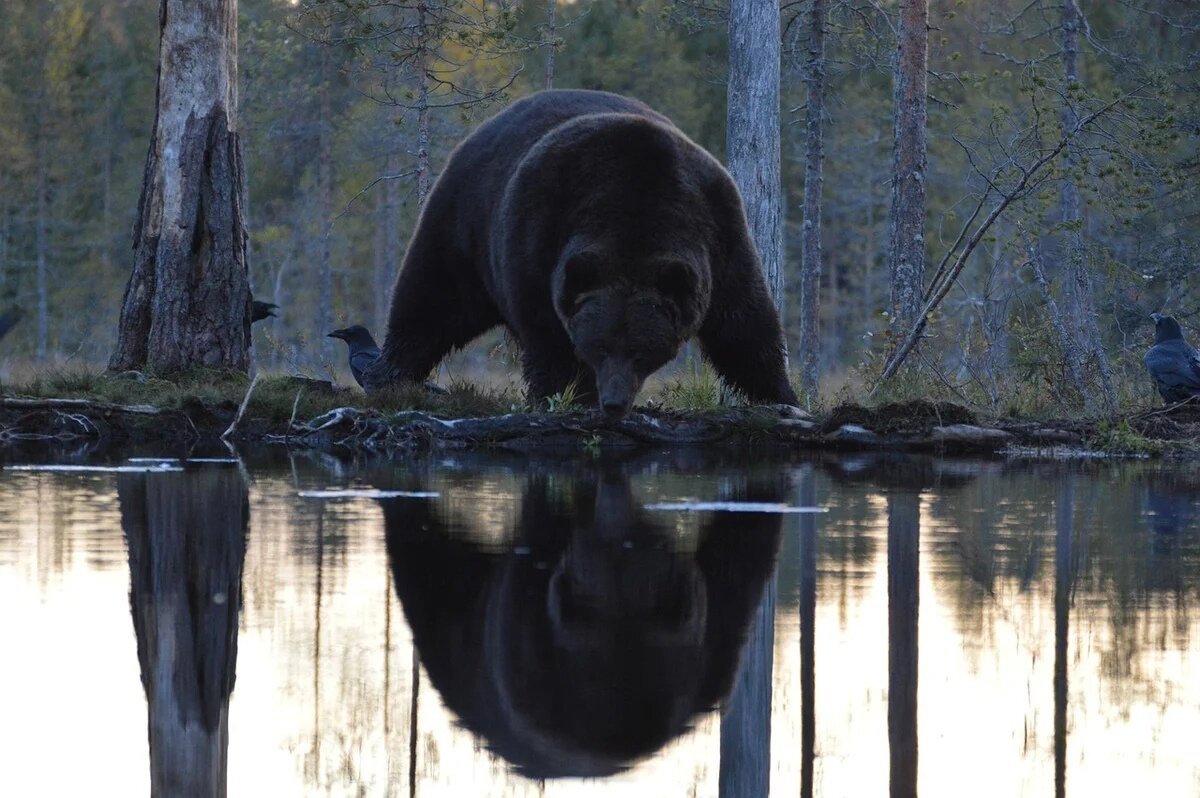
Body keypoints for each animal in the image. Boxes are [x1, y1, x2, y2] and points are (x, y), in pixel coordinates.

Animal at [364, 89, 796, 412]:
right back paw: (389, 375)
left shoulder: (719, 231)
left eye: (640, 351)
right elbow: (549, 338)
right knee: (431, 300)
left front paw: (781, 395)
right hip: (464, 223)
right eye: (600, 348)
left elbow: (744, 323)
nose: (615, 402)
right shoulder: (539, 238)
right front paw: (566, 394)